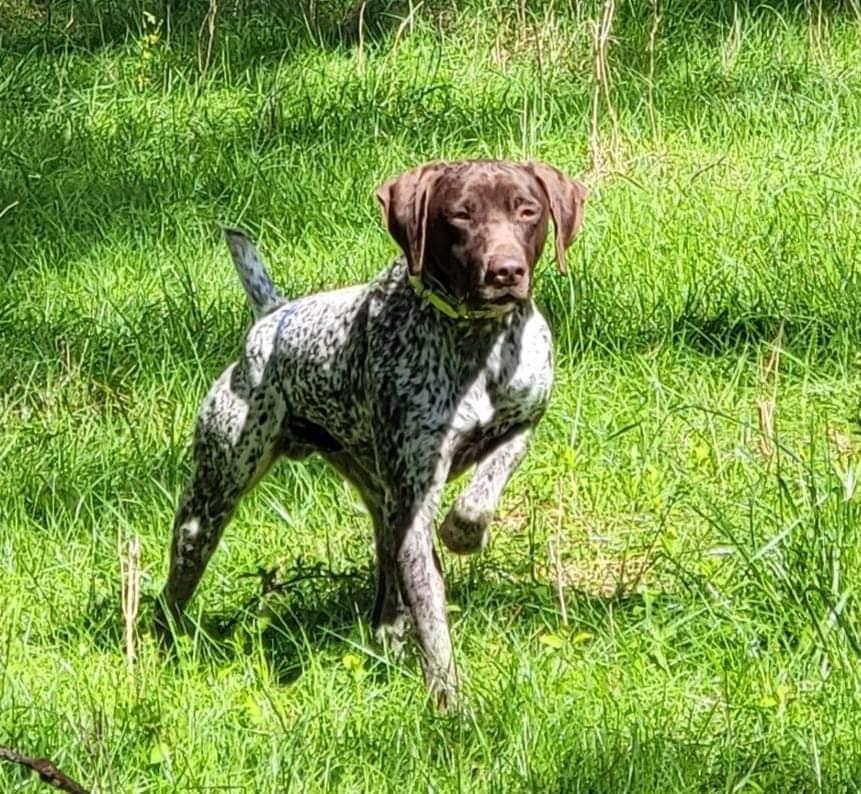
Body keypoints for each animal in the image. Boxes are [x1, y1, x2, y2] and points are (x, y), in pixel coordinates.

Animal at [156, 160, 587, 707]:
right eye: (460, 215)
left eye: (527, 211)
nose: (506, 271)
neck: (476, 346)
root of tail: (271, 317)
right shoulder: (413, 506)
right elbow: (432, 616)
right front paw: (448, 701)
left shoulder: (521, 421)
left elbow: (481, 494)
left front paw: (461, 530)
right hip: (212, 499)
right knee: (174, 587)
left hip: (377, 497)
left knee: (388, 581)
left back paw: (388, 632)